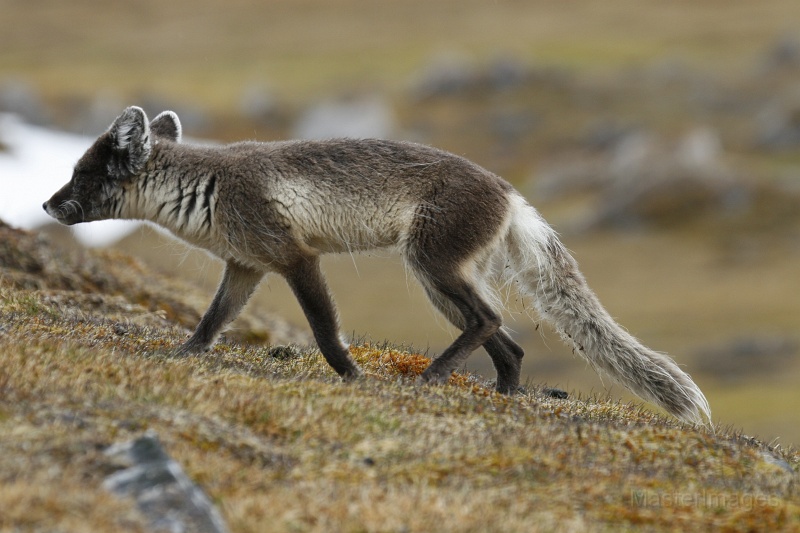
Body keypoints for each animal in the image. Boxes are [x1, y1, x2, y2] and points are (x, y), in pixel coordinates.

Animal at [43, 107, 708, 424]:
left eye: (81, 172)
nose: (47, 204)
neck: (204, 189)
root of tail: (511, 193)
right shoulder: (246, 267)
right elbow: (209, 322)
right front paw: (181, 357)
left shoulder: (295, 257)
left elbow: (323, 330)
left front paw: (351, 377)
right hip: (443, 280)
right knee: (509, 341)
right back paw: (502, 394)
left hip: (431, 266)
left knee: (490, 321)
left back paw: (430, 378)